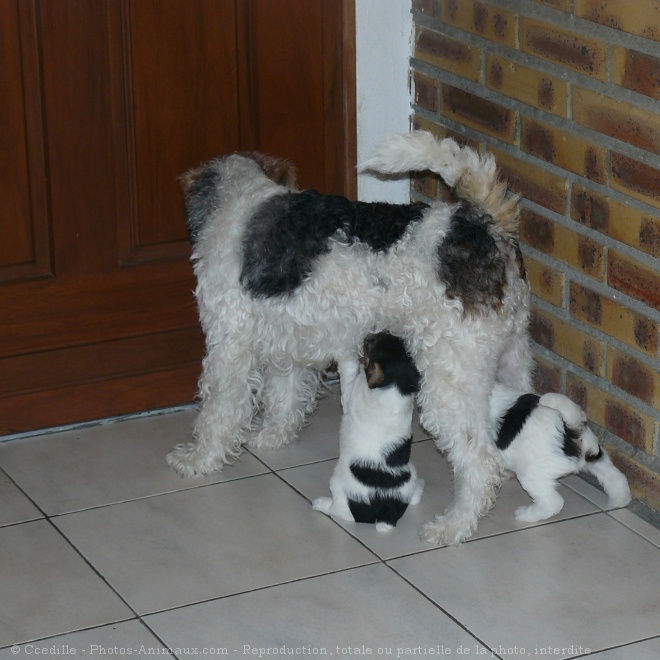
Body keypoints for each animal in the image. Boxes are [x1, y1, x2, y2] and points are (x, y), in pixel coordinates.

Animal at [314, 336, 426, 532]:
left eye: (372, 345)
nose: (368, 336)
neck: (396, 388)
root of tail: (386, 515)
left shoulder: (350, 394)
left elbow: (349, 369)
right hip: (410, 475)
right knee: (414, 497)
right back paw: (419, 487)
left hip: (338, 488)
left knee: (341, 512)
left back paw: (321, 504)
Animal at [492, 386, 632, 520]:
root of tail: (572, 429)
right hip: (595, 456)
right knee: (616, 478)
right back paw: (619, 501)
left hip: (531, 473)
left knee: (552, 502)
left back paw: (526, 515)